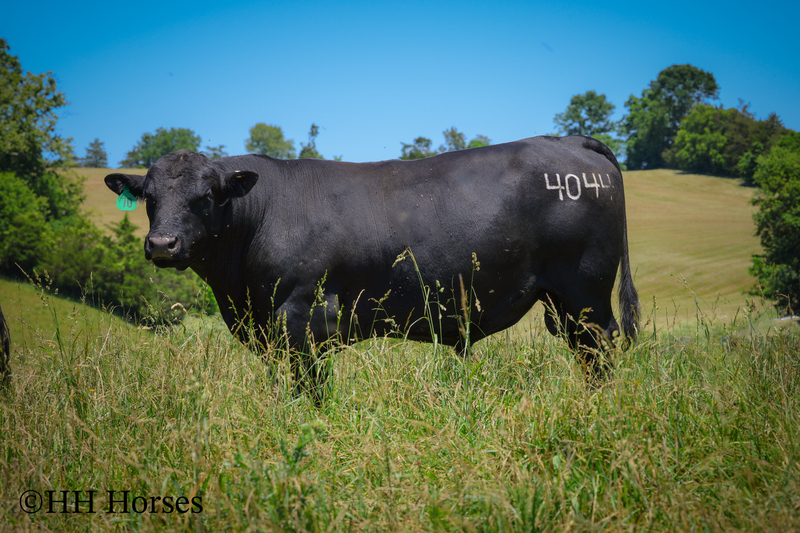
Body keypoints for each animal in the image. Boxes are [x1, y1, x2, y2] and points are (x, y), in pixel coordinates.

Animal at [105, 135, 639, 403]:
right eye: (149, 197)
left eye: (205, 196)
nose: (162, 244)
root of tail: (568, 139)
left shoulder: (301, 314)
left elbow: (308, 387)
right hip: (564, 301)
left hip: (585, 291)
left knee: (601, 348)